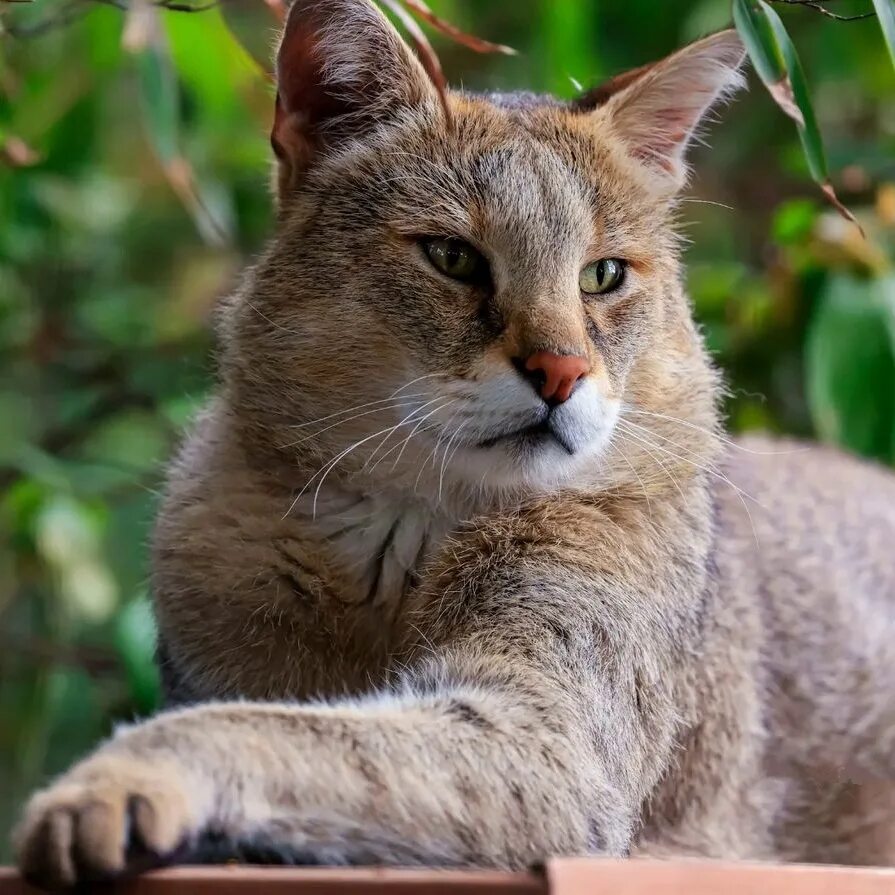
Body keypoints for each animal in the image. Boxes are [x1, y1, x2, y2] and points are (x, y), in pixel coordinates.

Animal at [14, 0, 895, 884]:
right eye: (452, 257)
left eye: (603, 275)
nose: (561, 371)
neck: (401, 540)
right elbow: (287, 722)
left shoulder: (549, 739)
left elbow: (287, 730)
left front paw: (117, 781)